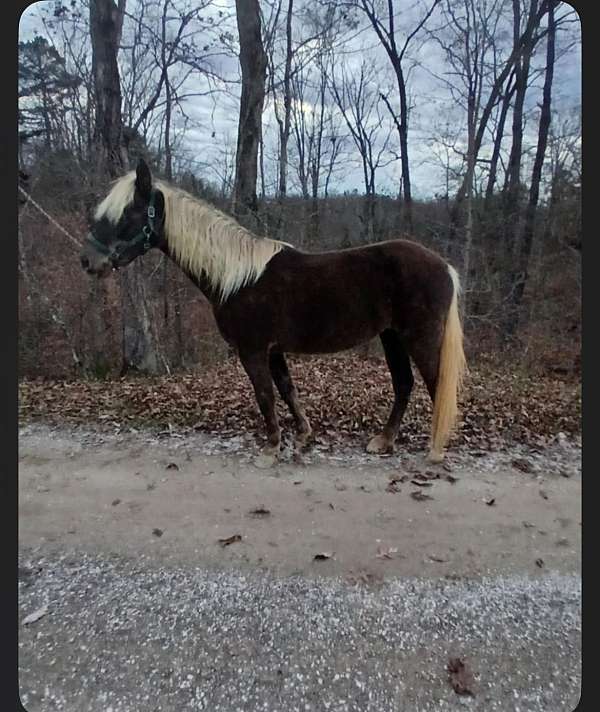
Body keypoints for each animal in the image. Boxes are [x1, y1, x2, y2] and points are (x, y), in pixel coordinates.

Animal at [79, 159, 466, 464]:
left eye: (127, 214)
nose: (88, 261)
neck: (236, 277)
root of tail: (444, 266)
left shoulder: (252, 351)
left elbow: (265, 395)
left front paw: (271, 449)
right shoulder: (274, 350)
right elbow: (286, 389)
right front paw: (303, 437)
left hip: (418, 337)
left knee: (435, 384)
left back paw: (435, 450)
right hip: (391, 337)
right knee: (404, 384)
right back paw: (383, 442)